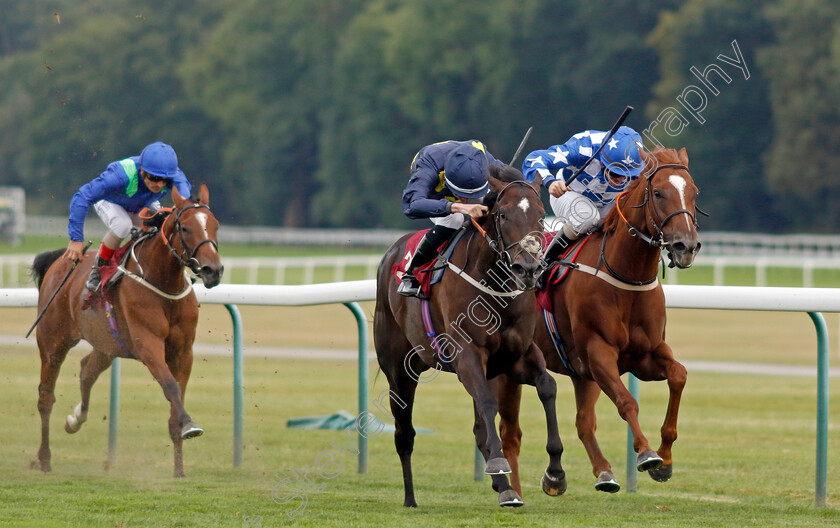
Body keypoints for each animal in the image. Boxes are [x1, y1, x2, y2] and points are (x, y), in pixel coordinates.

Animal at [31, 184, 225, 476]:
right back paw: (44, 459)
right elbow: (170, 386)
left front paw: (179, 470)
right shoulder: (148, 344)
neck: (163, 282)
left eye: (214, 225)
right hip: (53, 341)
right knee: (46, 397)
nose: (214, 270)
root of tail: (60, 261)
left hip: (108, 344)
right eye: (185, 228)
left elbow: (176, 399)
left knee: (87, 370)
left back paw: (75, 419)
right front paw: (190, 425)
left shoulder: (184, 350)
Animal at [378, 165, 568, 508]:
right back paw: (410, 497)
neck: (494, 288)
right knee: (404, 433)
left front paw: (555, 474)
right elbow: (488, 402)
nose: (527, 268)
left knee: (479, 427)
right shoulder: (467, 355)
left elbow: (548, 387)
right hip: (399, 370)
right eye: (503, 215)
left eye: (540, 215)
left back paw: (503, 486)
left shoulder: (517, 355)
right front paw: (501, 468)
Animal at [492, 146, 704, 498]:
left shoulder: (645, 355)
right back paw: (516, 491)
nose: (686, 246)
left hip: (580, 375)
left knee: (582, 422)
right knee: (510, 434)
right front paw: (647, 453)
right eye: (659, 193)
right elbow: (627, 402)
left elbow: (679, 375)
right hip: (511, 367)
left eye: (694, 192)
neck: (625, 276)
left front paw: (666, 458)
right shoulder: (598, 352)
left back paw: (596, 473)